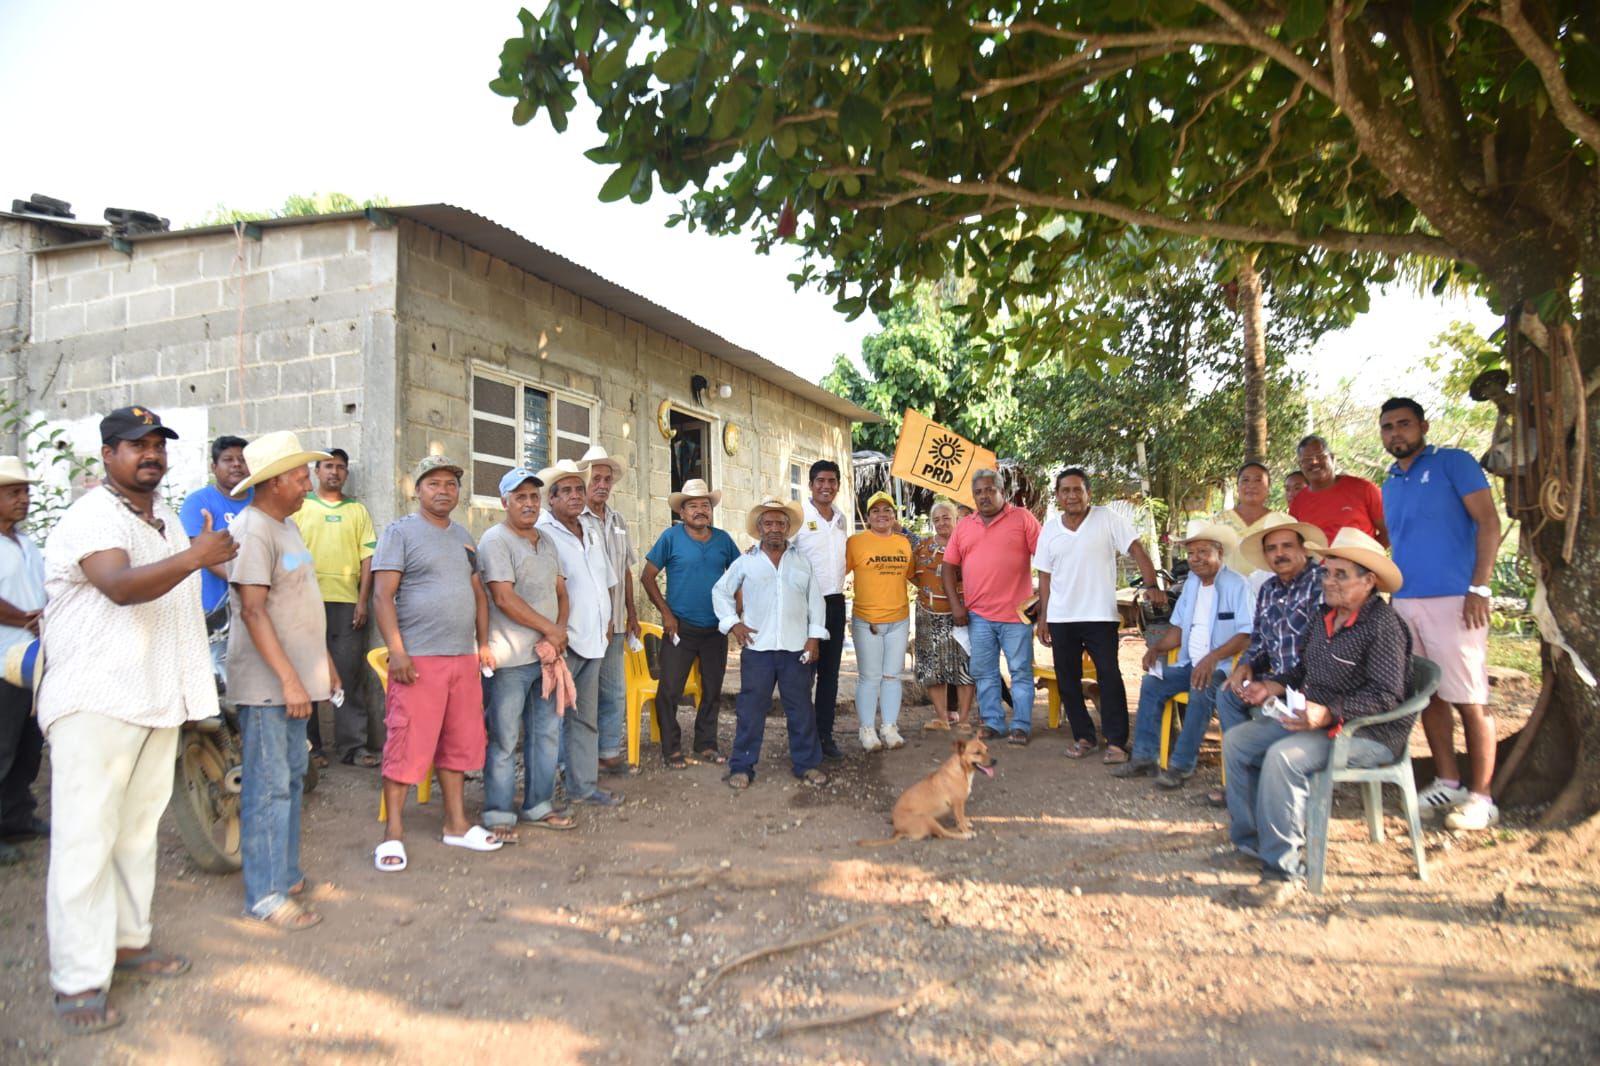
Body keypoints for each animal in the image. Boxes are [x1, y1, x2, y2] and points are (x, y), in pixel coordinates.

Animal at [857, 736, 992, 845]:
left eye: (987, 749)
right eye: (977, 753)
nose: (995, 761)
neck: (961, 770)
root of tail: (898, 830)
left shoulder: (958, 806)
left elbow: (960, 818)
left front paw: (964, 822)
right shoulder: (957, 804)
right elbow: (960, 818)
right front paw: (966, 830)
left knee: (940, 832)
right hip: (927, 818)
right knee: (943, 833)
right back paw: (964, 835)